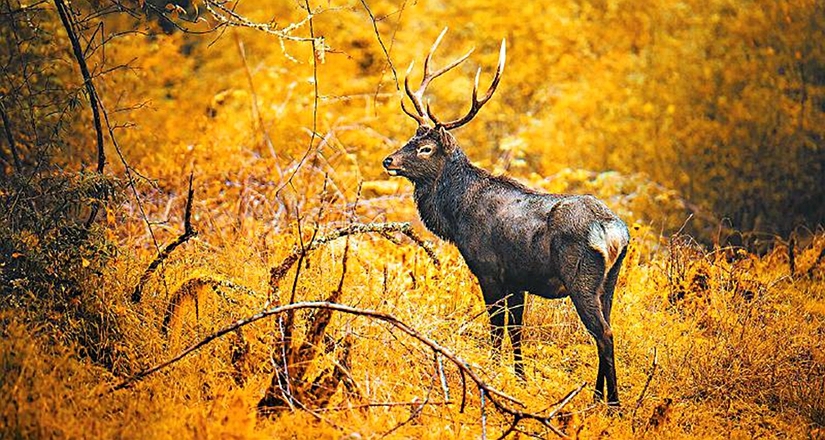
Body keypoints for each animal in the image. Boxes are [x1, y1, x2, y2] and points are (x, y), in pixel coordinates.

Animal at [384, 28, 628, 406]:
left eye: (425, 148)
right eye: (410, 138)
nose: (389, 160)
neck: (457, 216)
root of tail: (613, 232)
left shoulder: (489, 270)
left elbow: (497, 329)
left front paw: (494, 375)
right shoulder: (517, 279)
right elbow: (516, 331)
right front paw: (520, 379)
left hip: (581, 277)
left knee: (603, 332)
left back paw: (611, 403)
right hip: (610, 280)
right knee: (607, 326)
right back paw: (598, 397)